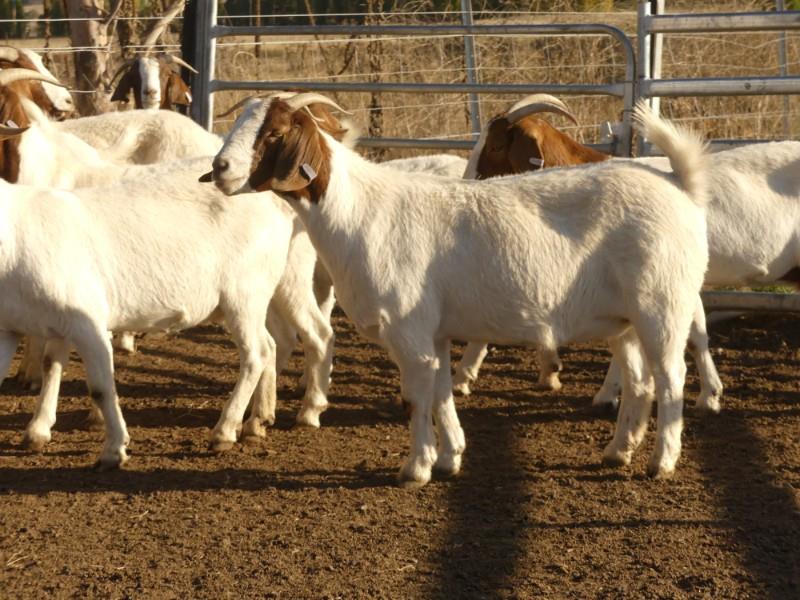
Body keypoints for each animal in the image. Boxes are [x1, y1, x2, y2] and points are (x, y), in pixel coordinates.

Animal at [206, 93, 710, 486]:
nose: (220, 167)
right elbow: (442, 392)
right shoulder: (436, 333)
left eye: (274, 133)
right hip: (623, 322)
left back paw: (661, 461)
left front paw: (416, 467)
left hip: (663, 308)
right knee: (640, 380)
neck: (361, 211)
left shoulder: (408, 331)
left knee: (671, 378)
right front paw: (450, 457)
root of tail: (681, 187)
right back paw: (618, 451)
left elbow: (417, 396)